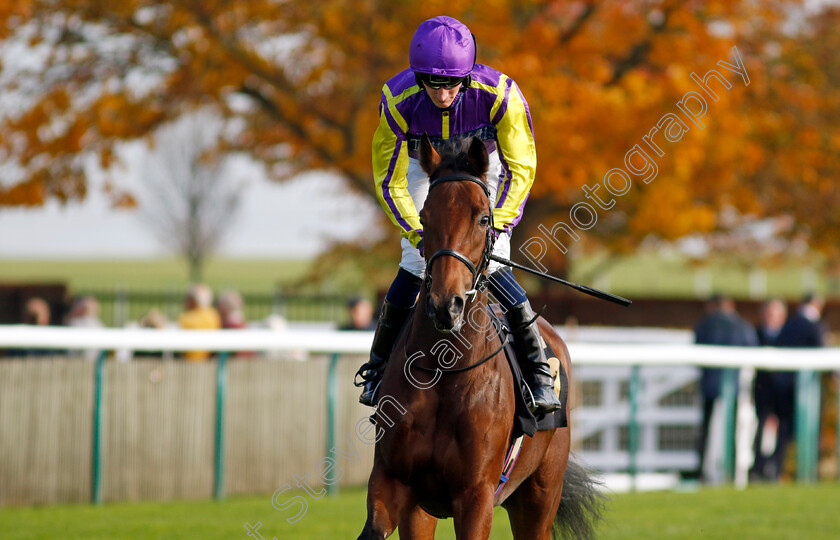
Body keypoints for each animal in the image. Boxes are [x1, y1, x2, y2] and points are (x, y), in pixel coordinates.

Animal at [358, 135, 600, 540]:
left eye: (484, 218)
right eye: (423, 217)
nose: (447, 305)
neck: (444, 373)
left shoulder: (476, 496)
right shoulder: (392, 484)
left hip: (539, 495)